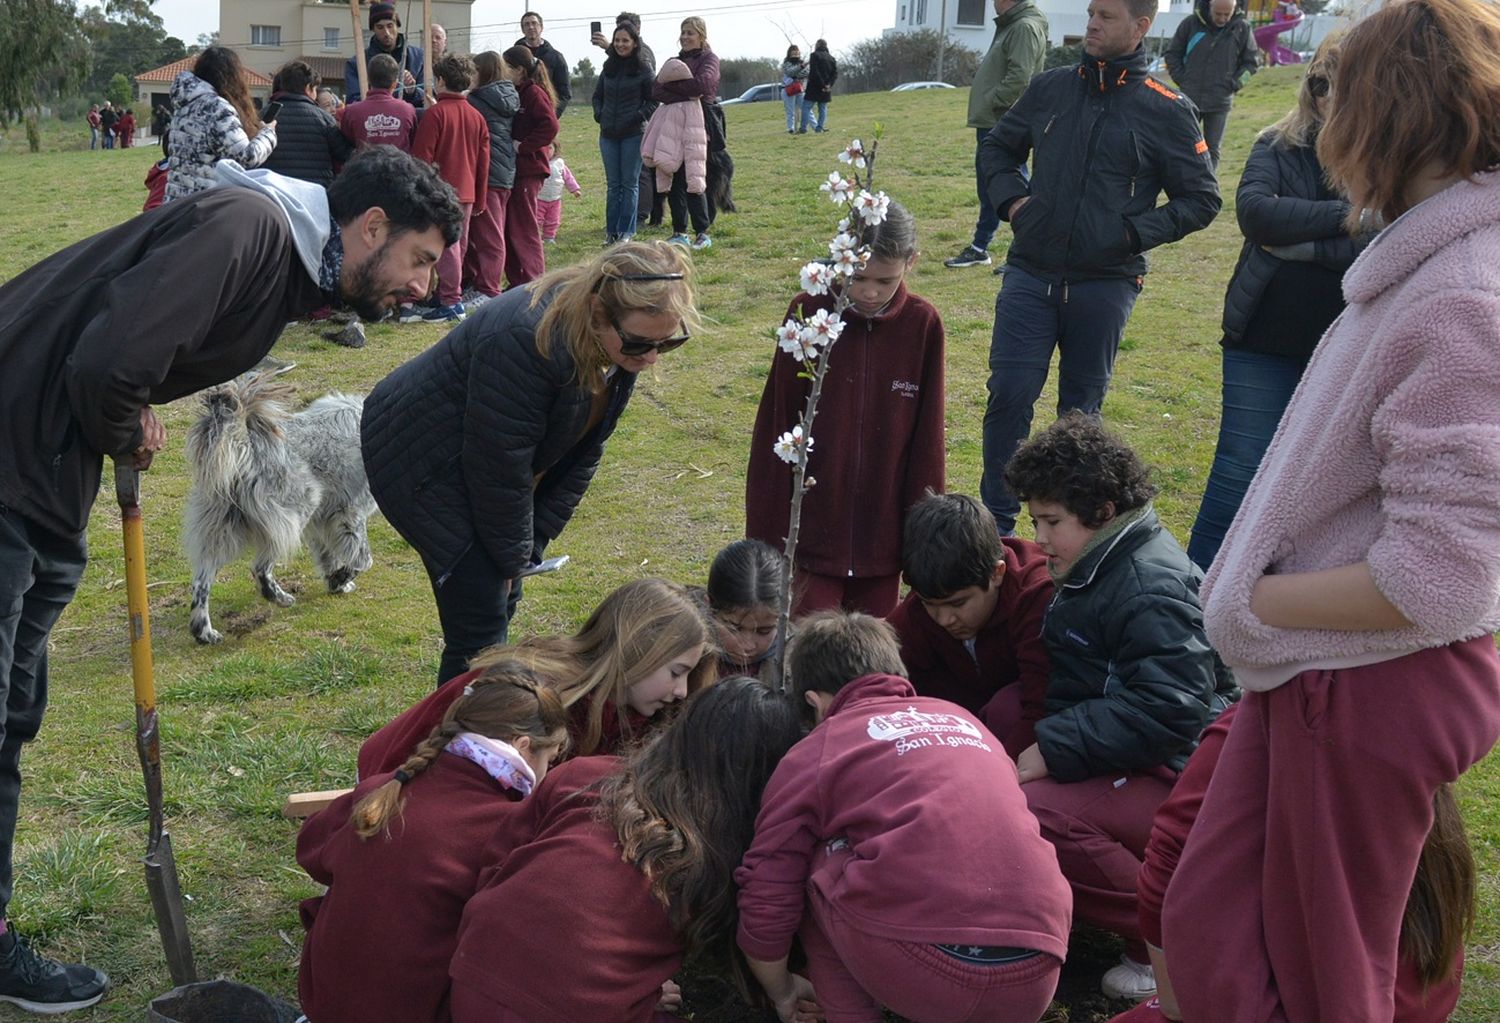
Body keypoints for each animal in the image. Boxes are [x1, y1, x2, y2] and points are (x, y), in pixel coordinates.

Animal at [182, 375, 375, 642]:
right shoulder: (350, 514)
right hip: (298, 509)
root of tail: (247, 444)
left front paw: (337, 584)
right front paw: (341, 578)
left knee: (201, 582)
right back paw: (278, 597)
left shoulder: (322, 522)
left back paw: (204, 632)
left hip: (220, 529)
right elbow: (363, 560)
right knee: (260, 568)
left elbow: (329, 558)